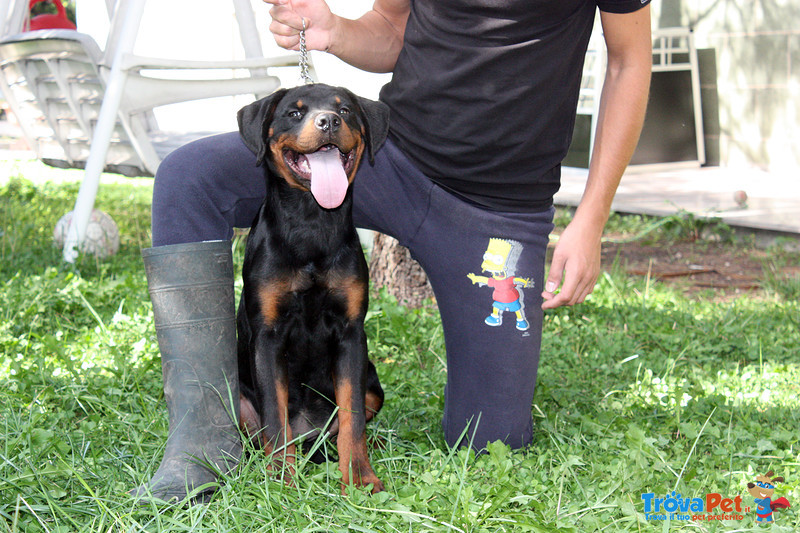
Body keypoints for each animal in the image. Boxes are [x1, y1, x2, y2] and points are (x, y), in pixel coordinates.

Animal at [234, 84, 390, 494]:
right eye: (294, 112)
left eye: (346, 110)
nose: (329, 122)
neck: (312, 221)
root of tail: (310, 437)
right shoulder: (267, 336)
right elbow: (275, 417)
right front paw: (280, 479)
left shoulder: (351, 334)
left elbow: (353, 418)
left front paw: (360, 477)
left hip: (372, 380)